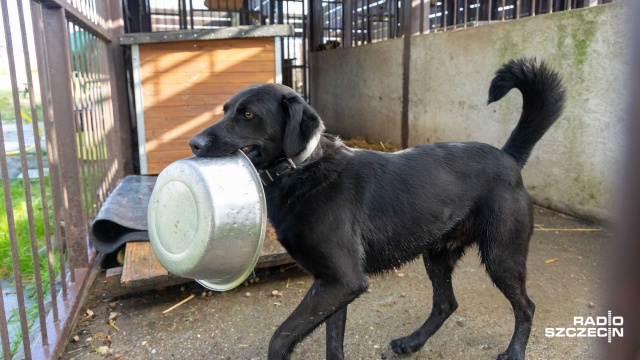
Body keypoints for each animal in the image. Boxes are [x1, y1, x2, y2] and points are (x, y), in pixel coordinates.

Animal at [190, 57, 564, 358]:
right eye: (225, 110)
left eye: (247, 114)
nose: (193, 143)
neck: (303, 169)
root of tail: (507, 156)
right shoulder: (332, 284)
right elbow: (333, 342)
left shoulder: (343, 281)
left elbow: (280, 338)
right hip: (437, 254)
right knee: (446, 303)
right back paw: (411, 343)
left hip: (502, 255)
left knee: (526, 306)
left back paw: (514, 352)